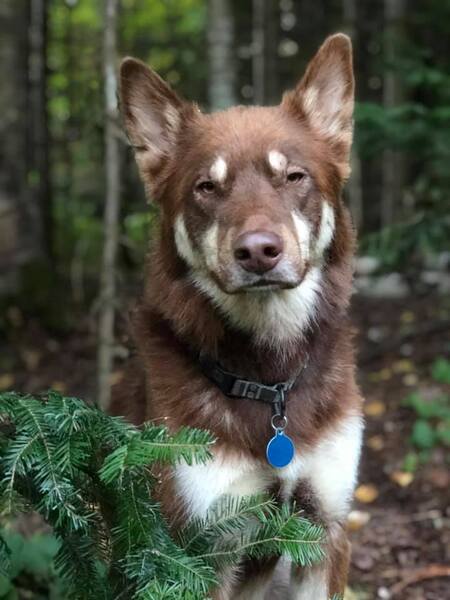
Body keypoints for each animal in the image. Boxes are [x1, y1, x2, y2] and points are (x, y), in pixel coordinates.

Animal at [114, 34, 364, 600]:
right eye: (207, 187)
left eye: (294, 176)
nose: (258, 252)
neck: (269, 379)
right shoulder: (196, 551)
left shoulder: (325, 532)